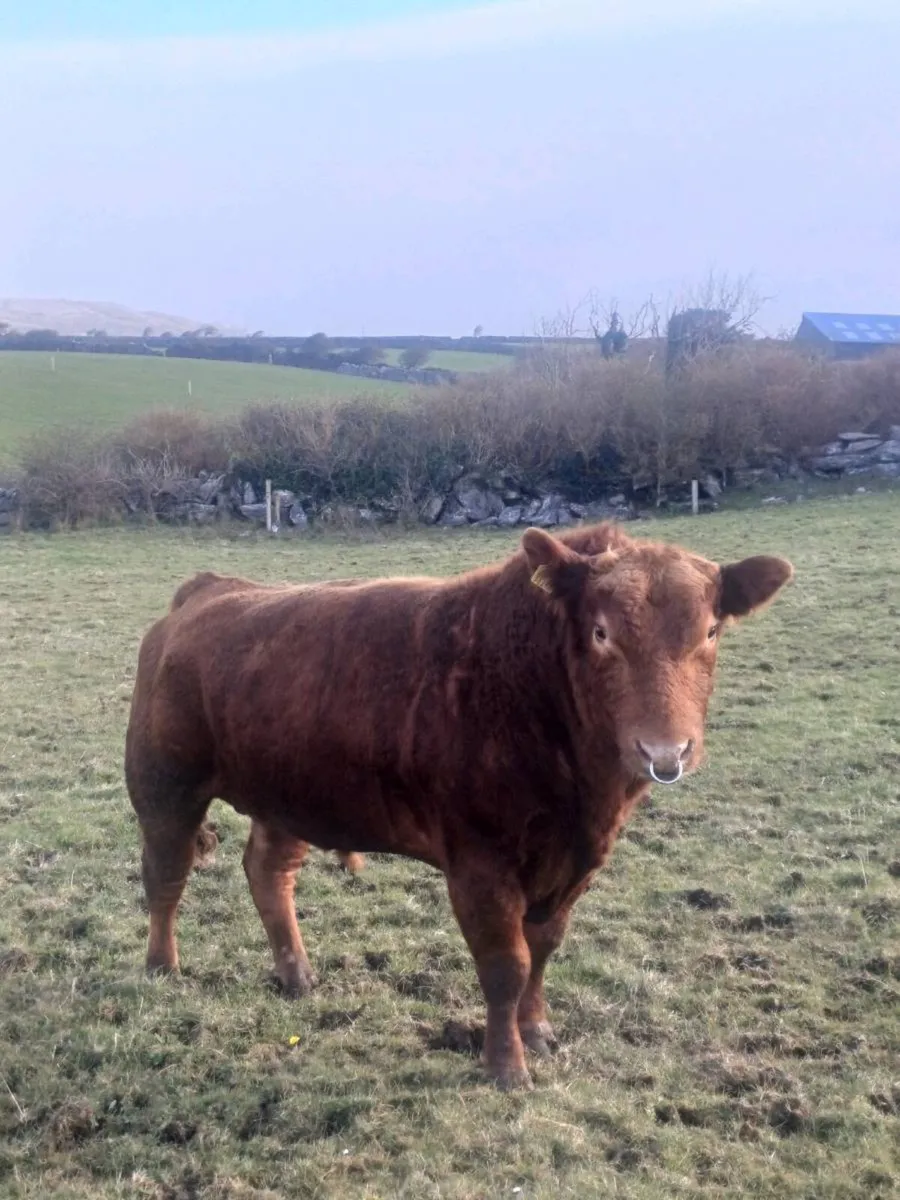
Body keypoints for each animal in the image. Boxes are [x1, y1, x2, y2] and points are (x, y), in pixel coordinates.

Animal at [125, 522, 793, 1089]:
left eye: (710, 631)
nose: (665, 751)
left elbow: (543, 949)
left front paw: (537, 1030)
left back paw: (296, 974)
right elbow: (506, 965)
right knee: (166, 875)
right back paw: (162, 967)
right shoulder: (480, 864)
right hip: (164, 785)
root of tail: (209, 590)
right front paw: (506, 1067)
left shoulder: (572, 865)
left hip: (288, 796)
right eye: (602, 632)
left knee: (268, 872)